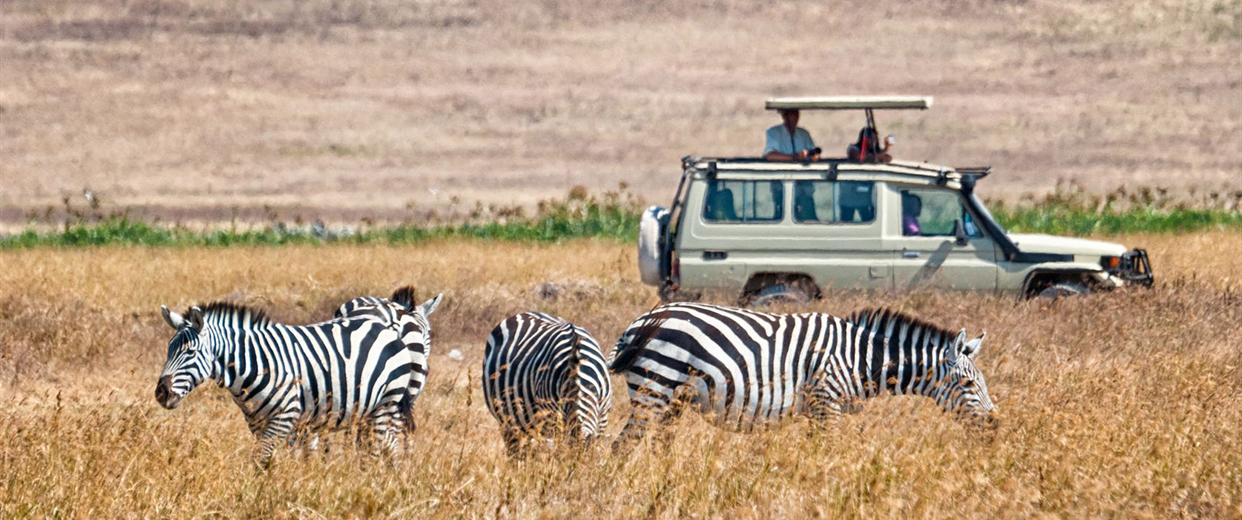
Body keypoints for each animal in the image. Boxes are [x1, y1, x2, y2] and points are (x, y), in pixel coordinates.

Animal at [154, 291, 442, 467]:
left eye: (190, 352)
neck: (257, 364)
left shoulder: (284, 417)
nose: (161, 393)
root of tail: (386, 323)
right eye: (168, 349)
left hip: (386, 404)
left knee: (380, 448)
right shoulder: (260, 423)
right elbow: (276, 459)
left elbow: (263, 460)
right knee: (385, 446)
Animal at [608, 303, 997, 442]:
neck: (857, 358)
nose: (995, 424)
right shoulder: (826, 402)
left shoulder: (817, 408)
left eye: (982, 382)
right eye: (967, 383)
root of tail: (639, 322)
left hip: (671, 401)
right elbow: (830, 452)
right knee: (623, 445)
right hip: (655, 390)